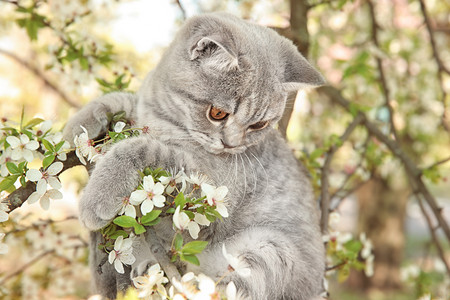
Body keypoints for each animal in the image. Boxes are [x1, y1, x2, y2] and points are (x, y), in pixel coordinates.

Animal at [63, 12, 326, 300]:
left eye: (259, 125)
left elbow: (141, 148)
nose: (231, 144)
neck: (167, 118)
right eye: (218, 113)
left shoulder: (212, 188)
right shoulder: (144, 112)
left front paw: (97, 196)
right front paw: (74, 128)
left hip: (270, 250)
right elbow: (119, 99)